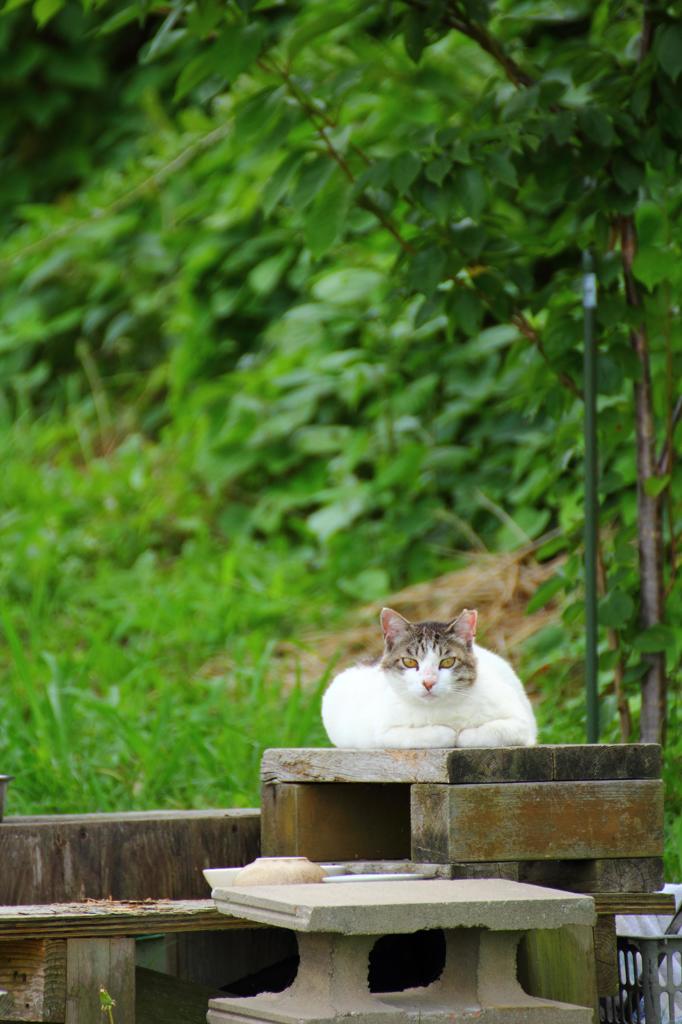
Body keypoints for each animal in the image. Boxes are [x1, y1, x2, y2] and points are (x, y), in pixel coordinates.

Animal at [319, 602, 536, 749]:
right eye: (409, 662)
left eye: (448, 662)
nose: (428, 682)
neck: (441, 710)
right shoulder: (383, 733)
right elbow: (433, 734)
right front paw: (449, 733)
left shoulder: (522, 724)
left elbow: (481, 733)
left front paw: (463, 734)